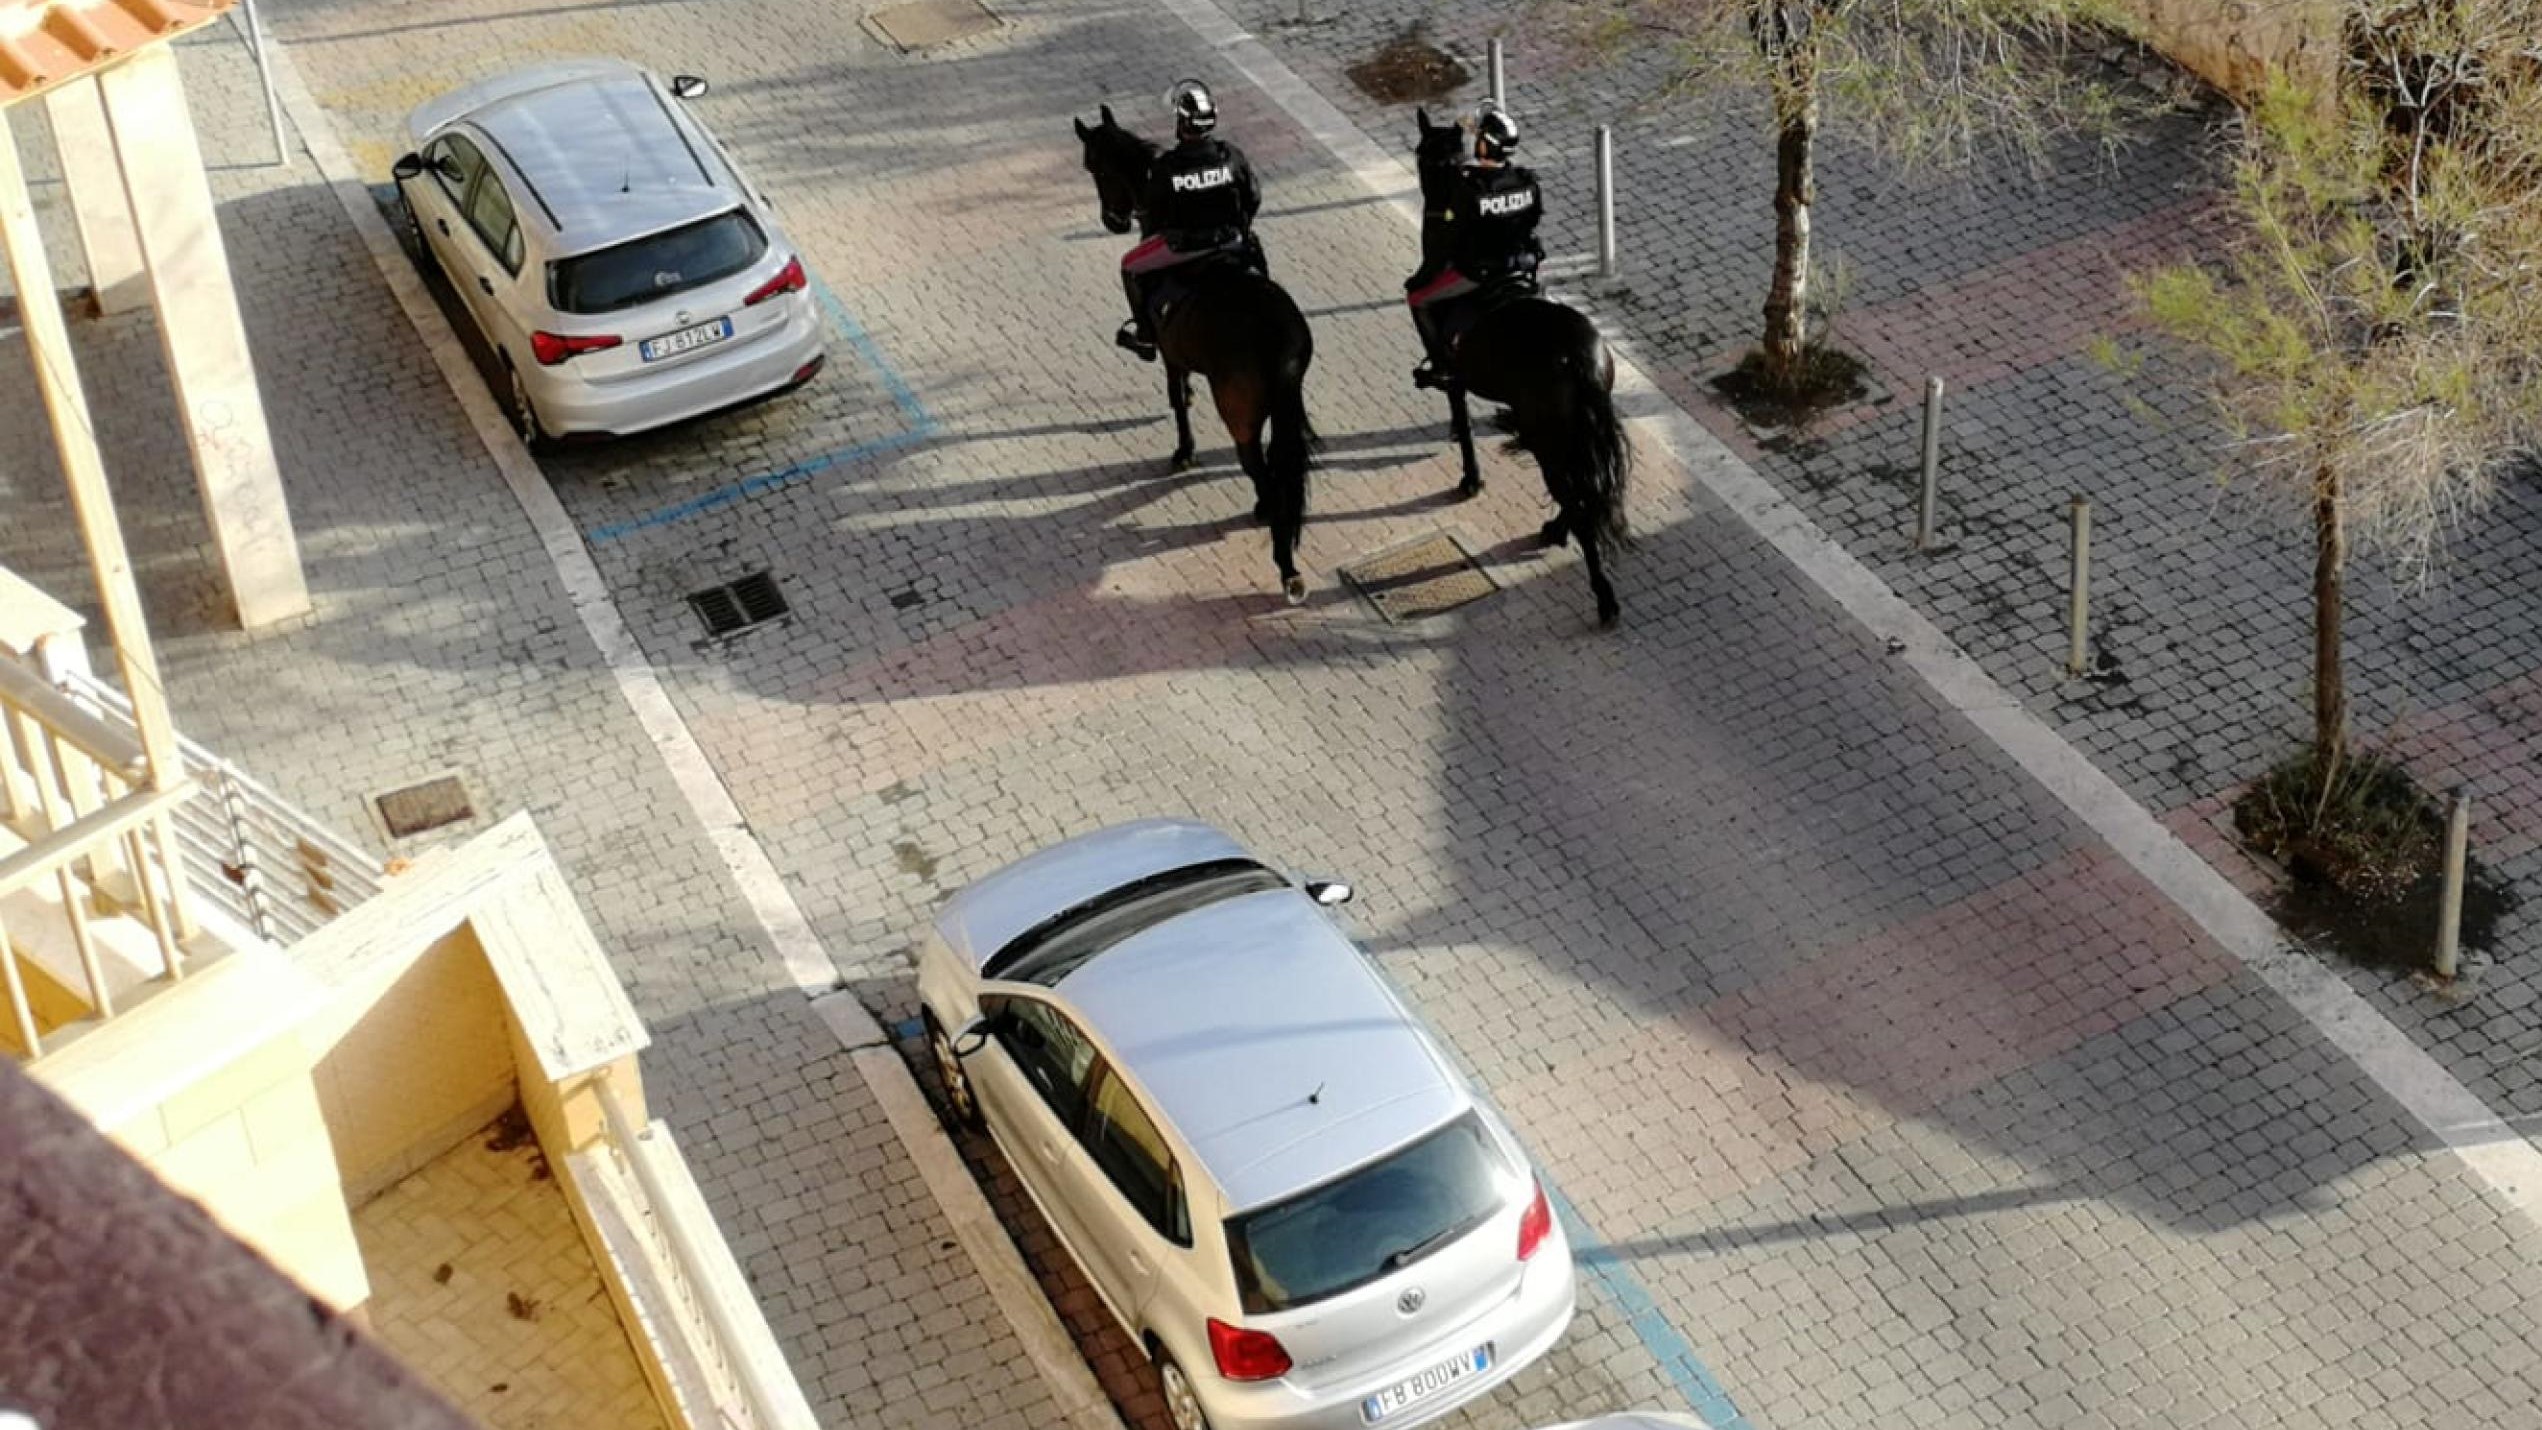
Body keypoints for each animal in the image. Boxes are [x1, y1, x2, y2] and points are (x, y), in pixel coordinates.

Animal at [1073, 105, 1320, 604]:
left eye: (1095, 168)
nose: (1113, 221)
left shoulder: (1171, 354)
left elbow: (1175, 396)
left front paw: (1184, 450)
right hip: (1285, 404)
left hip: (1238, 413)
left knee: (1261, 472)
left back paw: (1285, 562)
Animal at [1411, 107, 1632, 628]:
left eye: (1422, 154)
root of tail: (1579, 354)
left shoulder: (1450, 363)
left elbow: (1461, 421)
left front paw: (1470, 478)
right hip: (1569, 434)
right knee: (1584, 494)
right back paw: (1555, 529)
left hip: (1552, 440)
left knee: (1579, 500)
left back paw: (1602, 593)